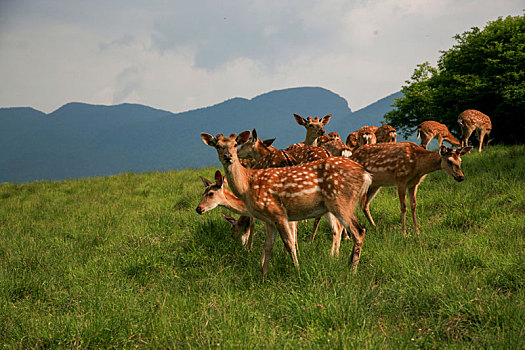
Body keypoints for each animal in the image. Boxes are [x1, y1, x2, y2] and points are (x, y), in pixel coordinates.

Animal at [202, 131, 372, 276]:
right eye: (218, 145)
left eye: (236, 144)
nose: (228, 156)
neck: (248, 187)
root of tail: (365, 174)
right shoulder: (269, 219)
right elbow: (268, 246)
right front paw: (263, 274)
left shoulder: (278, 213)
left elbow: (288, 242)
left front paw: (297, 269)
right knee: (345, 229)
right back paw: (343, 261)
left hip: (341, 201)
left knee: (358, 230)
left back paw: (351, 271)